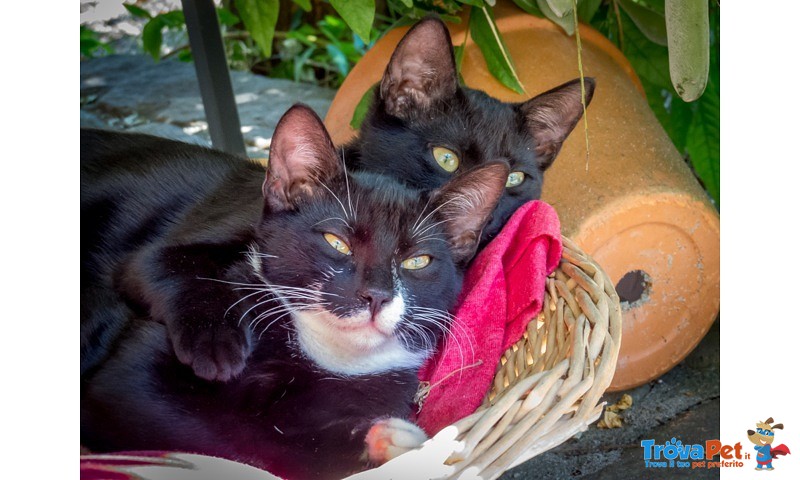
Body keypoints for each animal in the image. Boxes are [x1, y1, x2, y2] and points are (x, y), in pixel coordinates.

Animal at [81, 103, 506, 478]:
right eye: (337, 242)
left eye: (417, 262)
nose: (376, 295)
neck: (323, 354)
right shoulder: (128, 381)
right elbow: (220, 433)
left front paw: (384, 440)